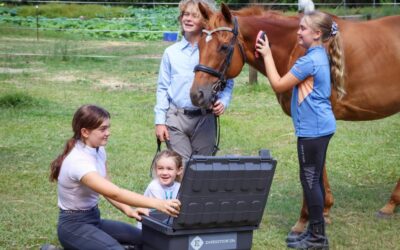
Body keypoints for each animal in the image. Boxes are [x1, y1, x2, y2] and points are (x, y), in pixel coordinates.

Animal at [191, 2, 400, 234]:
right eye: (198, 45)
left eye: (224, 47)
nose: (196, 95)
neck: (296, 47)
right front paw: (325, 211)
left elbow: (311, 169)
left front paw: (303, 221)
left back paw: (390, 204)